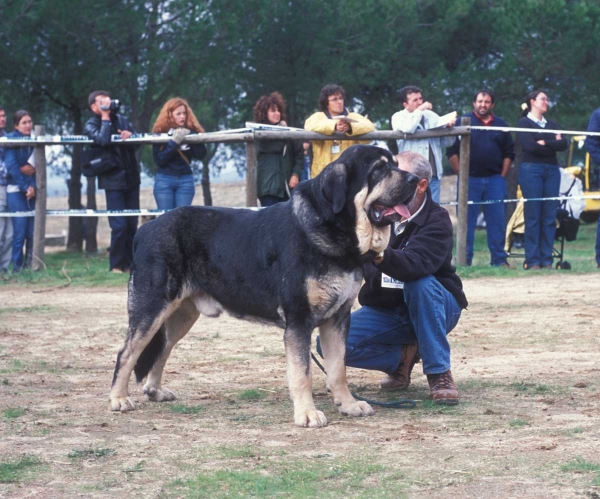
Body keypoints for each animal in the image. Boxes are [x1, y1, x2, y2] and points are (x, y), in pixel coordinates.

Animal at [109, 146, 418, 430]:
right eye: (379, 169)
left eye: (395, 164)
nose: (416, 179)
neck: (334, 228)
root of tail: (143, 231)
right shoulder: (299, 321)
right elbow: (303, 372)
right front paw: (307, 413)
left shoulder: (338, 318)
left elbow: (338, 369)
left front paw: (349, 404)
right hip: (152, 308)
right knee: (127, 353)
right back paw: (118, 399)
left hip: (180, 316)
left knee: (161, 349)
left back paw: (155, 391)